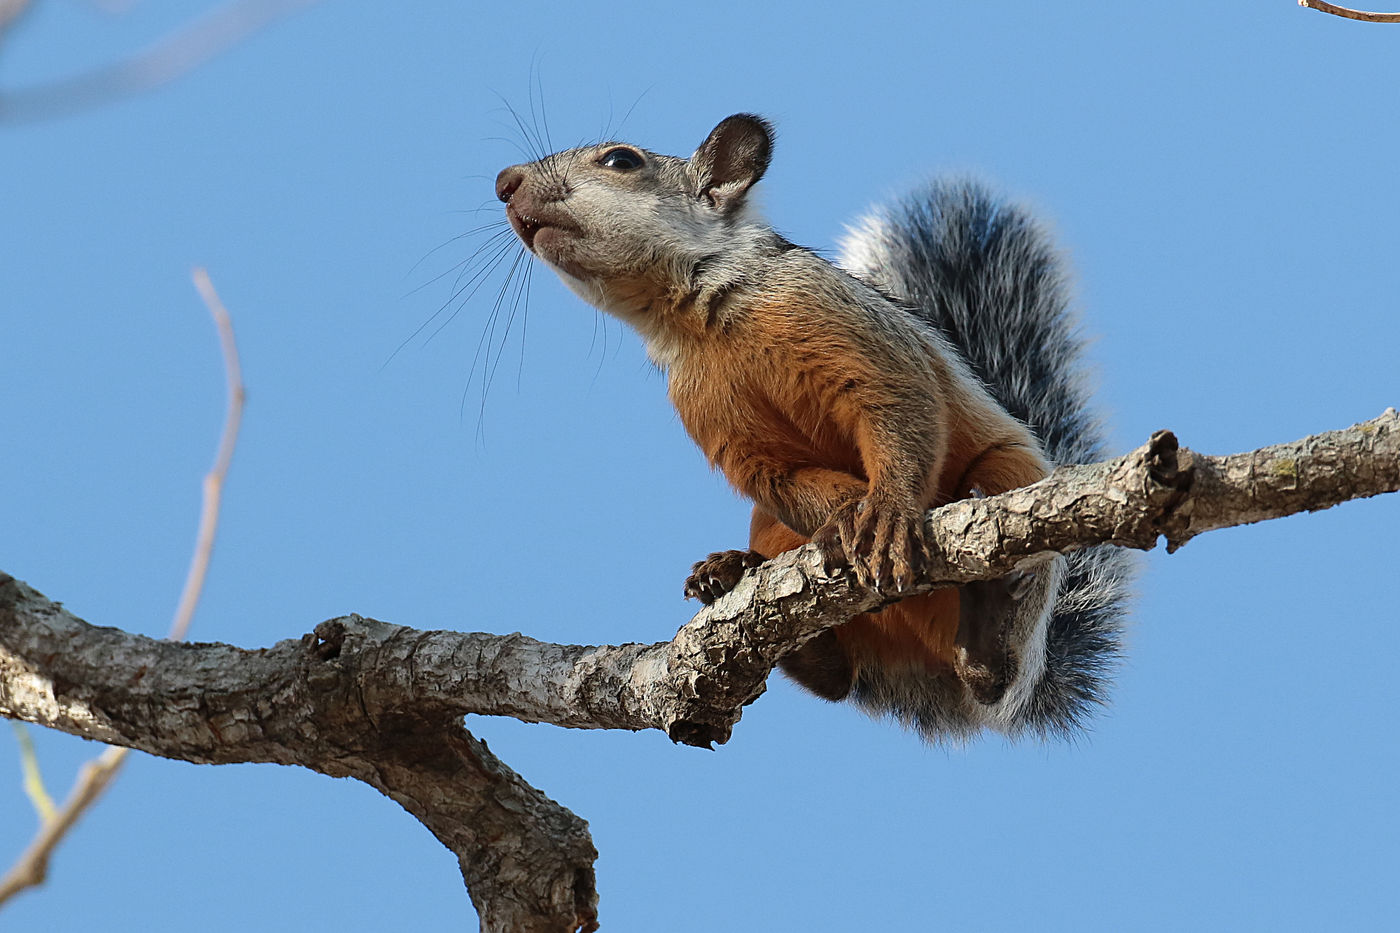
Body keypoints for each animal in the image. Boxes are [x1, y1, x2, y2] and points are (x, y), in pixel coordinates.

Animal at [498, 112, 1131, 739]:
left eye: (621, 160)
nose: (506, 182)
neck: (702, 320)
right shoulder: (715, 418)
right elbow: (779, 475)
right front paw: (846, 513)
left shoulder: (845, 326)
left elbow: (897, 405)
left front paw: (886, 511)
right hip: (772, 532)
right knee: (837, 680)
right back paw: (740, 584)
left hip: (1010, 474)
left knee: (993, 677)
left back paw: (986, 625)